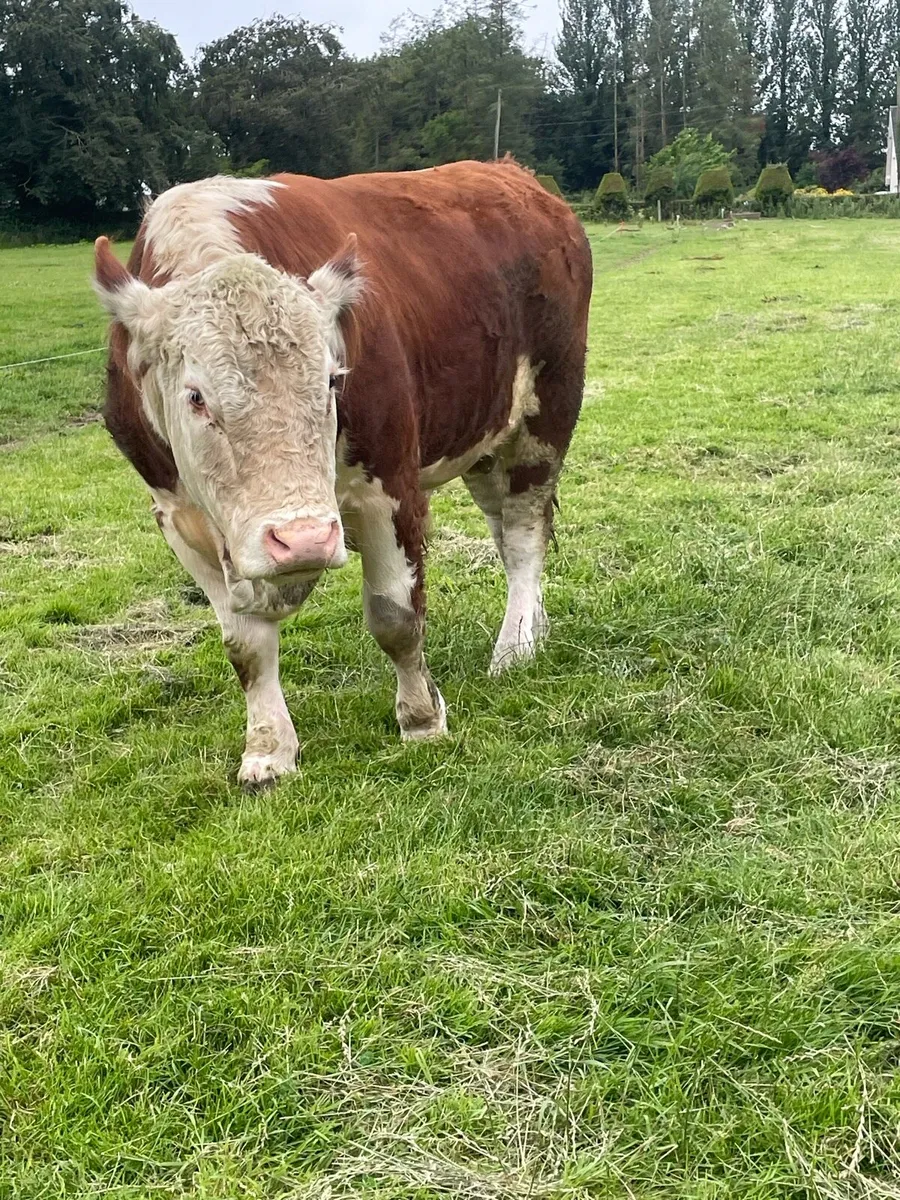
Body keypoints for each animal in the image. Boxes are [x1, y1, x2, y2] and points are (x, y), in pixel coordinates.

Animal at [93, 159, 592, 786]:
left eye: (333, 379)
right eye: (196, 396)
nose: (304, 538)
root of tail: (515, 176)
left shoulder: (391, 488)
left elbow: (395, 616)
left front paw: (421, 720)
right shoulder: (177, 516)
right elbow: (245, 645)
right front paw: (268, 750)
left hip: (546, 413)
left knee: (525, 532)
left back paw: (515, 646)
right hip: (481, 434)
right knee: (507, 530)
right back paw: (534, 625)